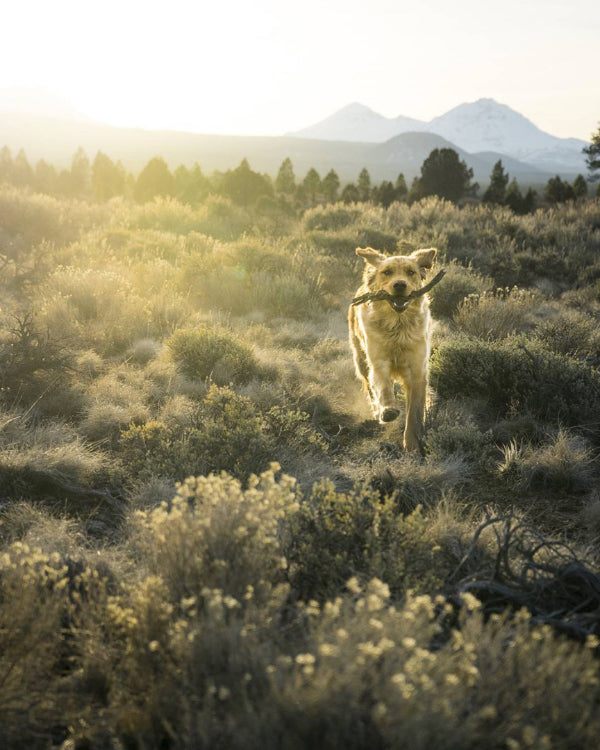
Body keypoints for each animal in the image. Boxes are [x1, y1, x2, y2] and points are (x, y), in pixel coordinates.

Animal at [346, 248, 436, 452]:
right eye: (387, 272)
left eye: (411, 272)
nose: (400, 285)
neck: (398, 327)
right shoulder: (379, 363)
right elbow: (383, 388)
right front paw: (387, 410)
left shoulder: (417, 371)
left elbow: (414, 412)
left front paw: (412, 444)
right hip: (360, 359)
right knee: (369, 386)